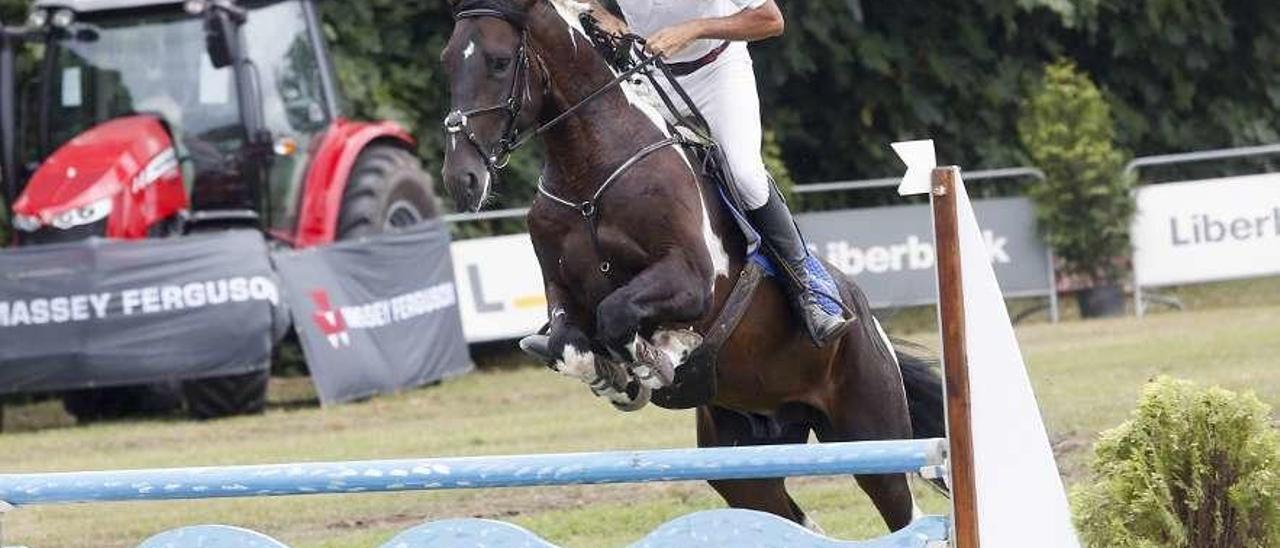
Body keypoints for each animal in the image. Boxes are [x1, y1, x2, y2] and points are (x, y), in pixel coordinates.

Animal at [435, 0, 947, 530]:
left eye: (498, 62)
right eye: (447, 62)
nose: (461, 179)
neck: (590, 170)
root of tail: (866, 317)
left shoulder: (691, 281)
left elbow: (618, 312)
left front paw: (663, 352)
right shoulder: (562, 292)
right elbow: (568, 344)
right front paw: (614, 377)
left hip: (868, 430)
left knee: (899, 505)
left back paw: (816, 311)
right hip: (746, 460)